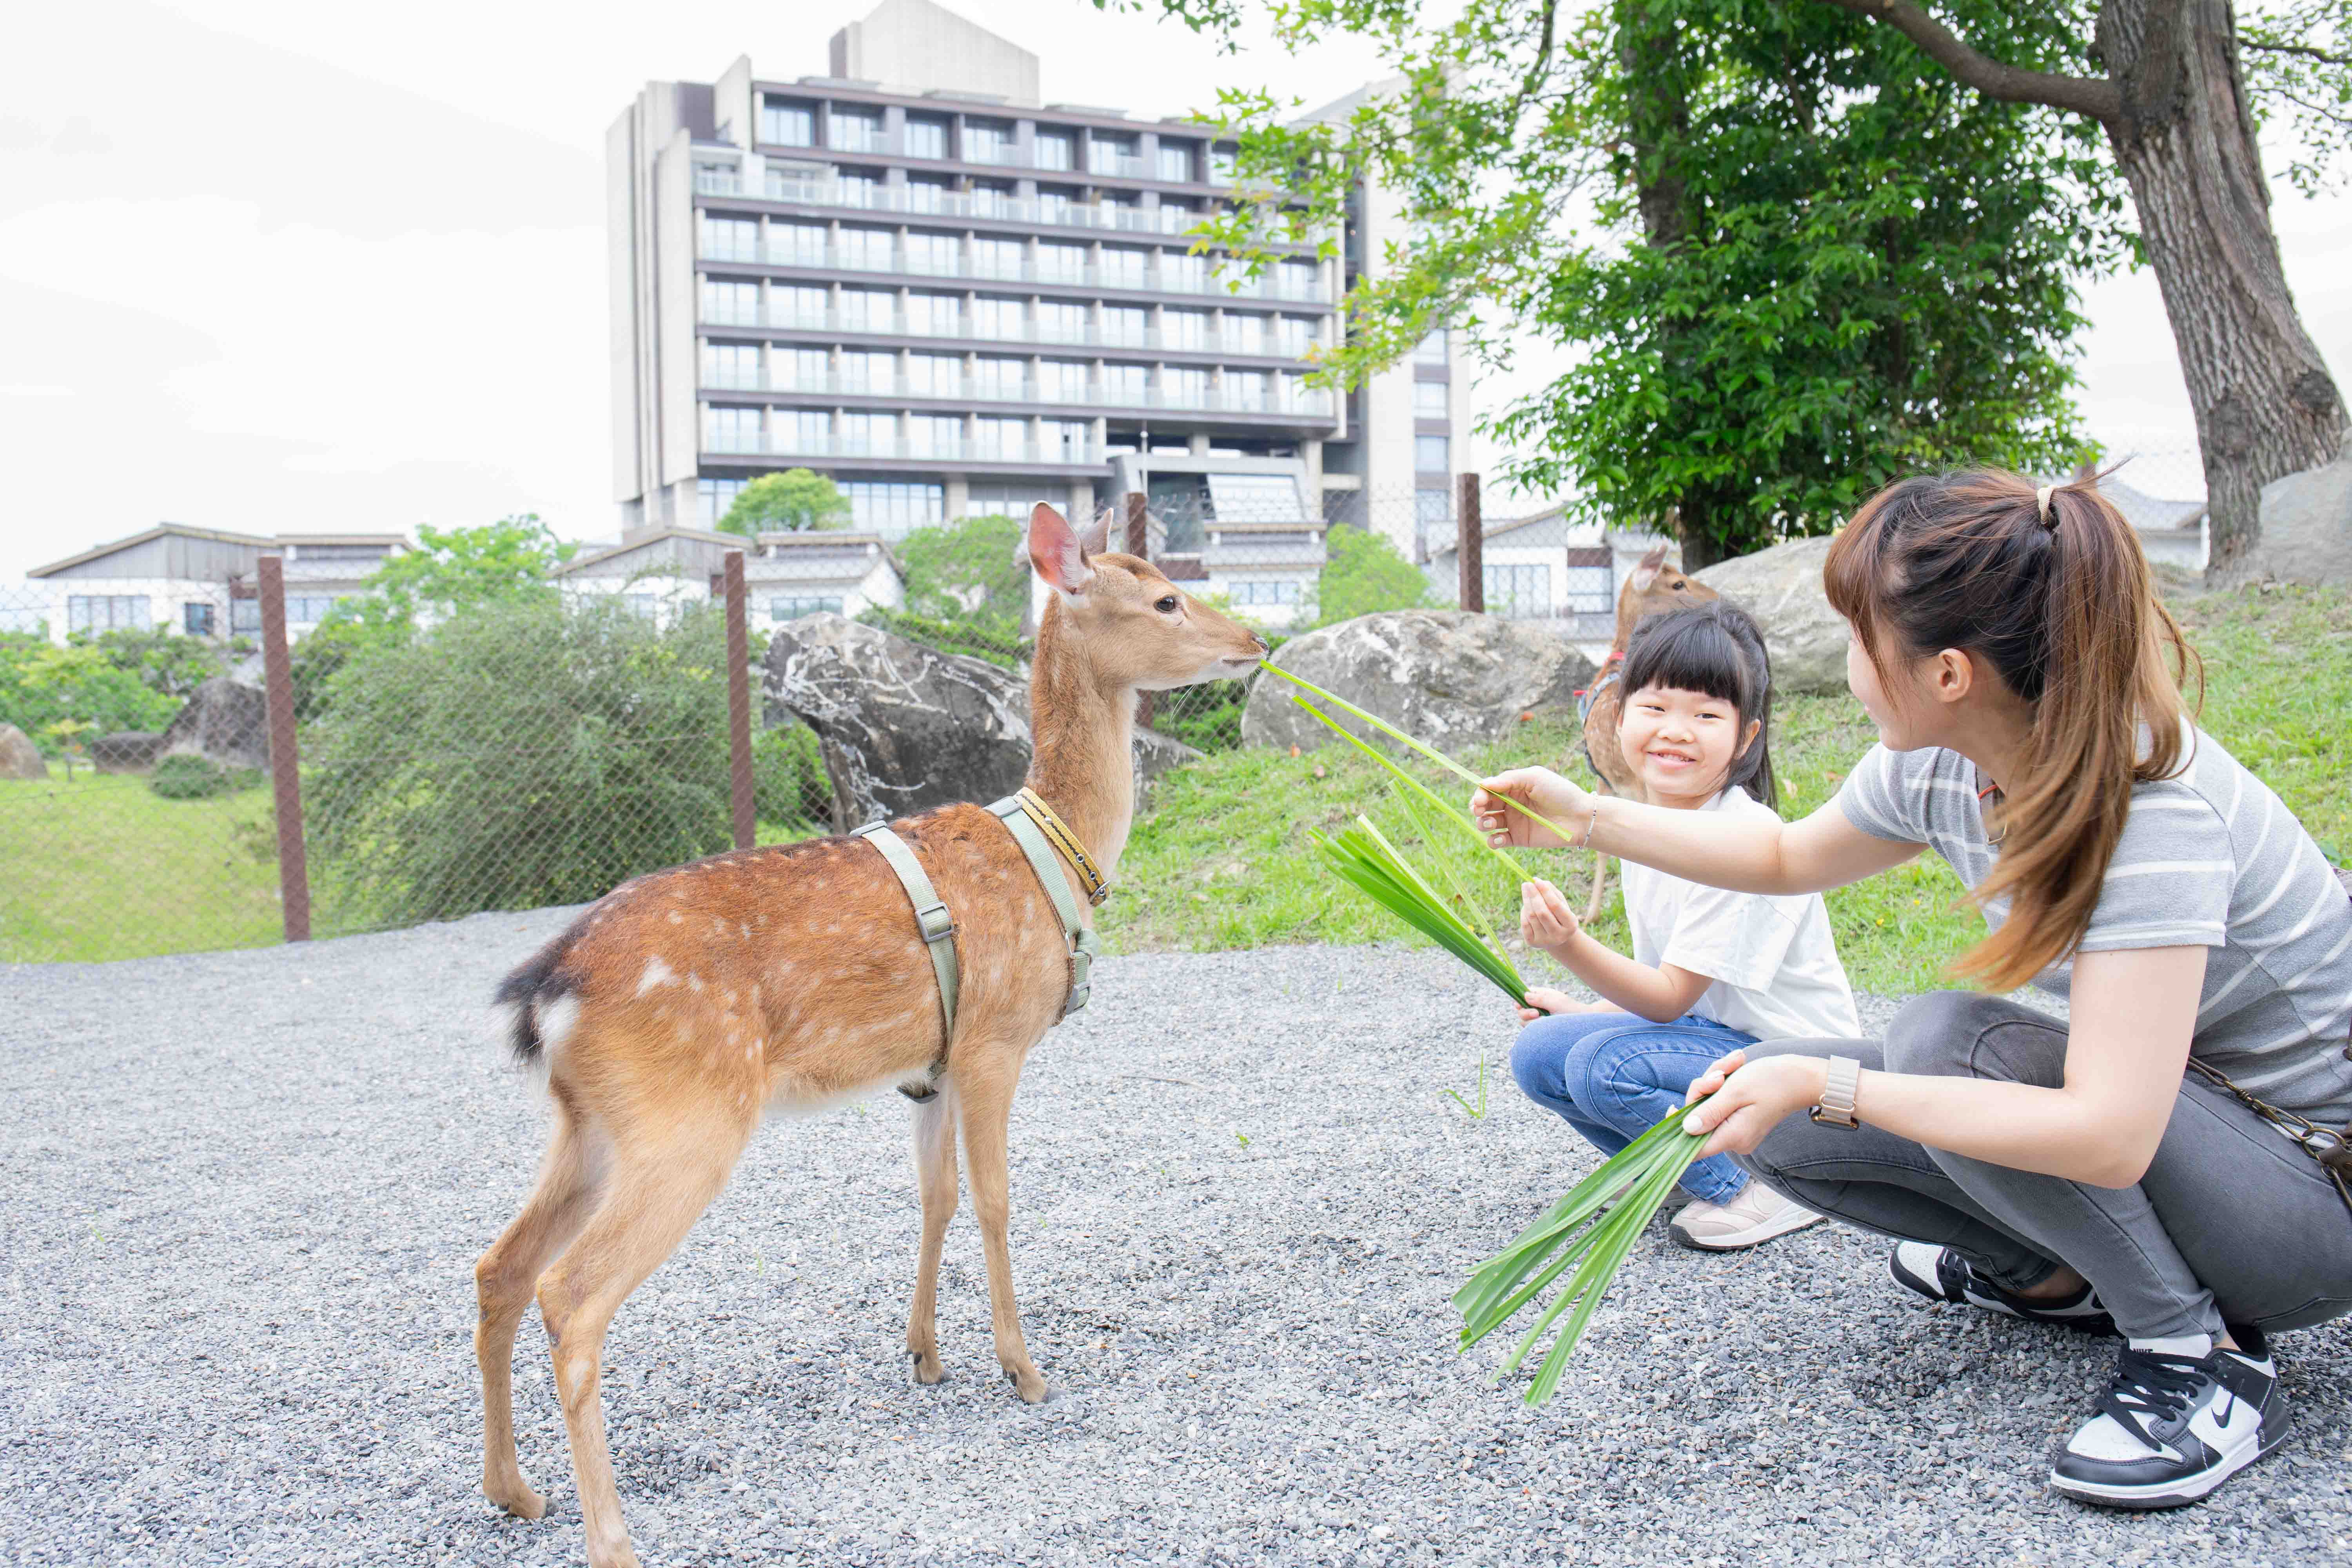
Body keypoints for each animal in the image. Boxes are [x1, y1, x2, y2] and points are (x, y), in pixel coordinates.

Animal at [472, 503, 1267, 1568]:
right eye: (1166, 598)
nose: (1253, 642)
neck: (1059, 852)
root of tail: (548, 987)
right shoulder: (992, 1040)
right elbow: (995, 1201)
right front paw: (1023, 1368)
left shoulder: (928, 1067)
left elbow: (934, 1198)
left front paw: (925, 1353)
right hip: (687, 1119)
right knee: (571, 1293)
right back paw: (612, 1537)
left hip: (588, 1120)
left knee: (500, 1267)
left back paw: (514, 1491)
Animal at [1572, 543, 1718, 922]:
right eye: (1678, 584)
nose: (1717, 598)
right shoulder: (1607, 778)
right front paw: (1592, 913)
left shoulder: (1607, 778)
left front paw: (1591, 913)